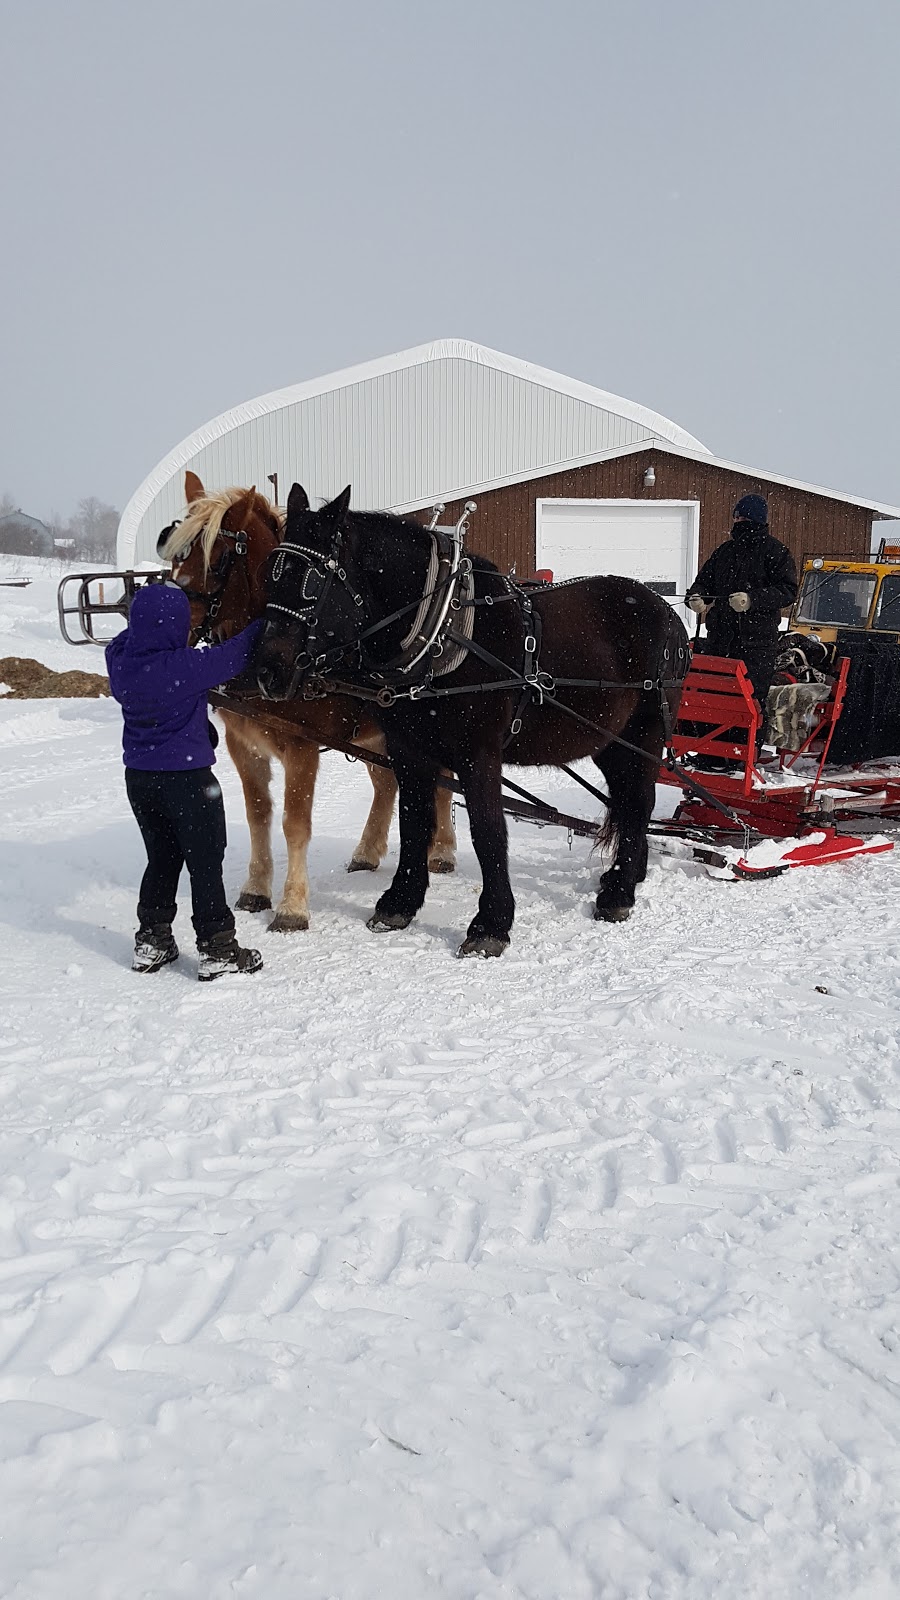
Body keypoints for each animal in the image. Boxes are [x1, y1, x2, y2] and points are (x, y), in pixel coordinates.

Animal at [157, 467, 451, 934]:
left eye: (217, 558)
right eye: (173, 551)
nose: (169, 625)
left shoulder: (301, 747)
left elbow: (295, 823)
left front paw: (292, 906)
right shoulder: (243, 745)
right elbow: (258, 814)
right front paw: (256, 889)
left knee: (440, 782)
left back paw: (441, 851)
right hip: (374, 736)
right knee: (387, 784)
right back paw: (368, 851)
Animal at [254, 480, 685, 953]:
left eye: (312, 582)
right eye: (269, 573)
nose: (267, 672)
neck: (442, 631)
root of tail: (667, 612)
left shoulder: (479, 754)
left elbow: (488, 830)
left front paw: (490, 924)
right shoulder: (408, 751)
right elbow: (414, 820)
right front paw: (399, 902)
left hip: (644, 734)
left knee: (639, 801)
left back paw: (620, 893)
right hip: (608, 740)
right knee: (628, 800)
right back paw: (625, 876)